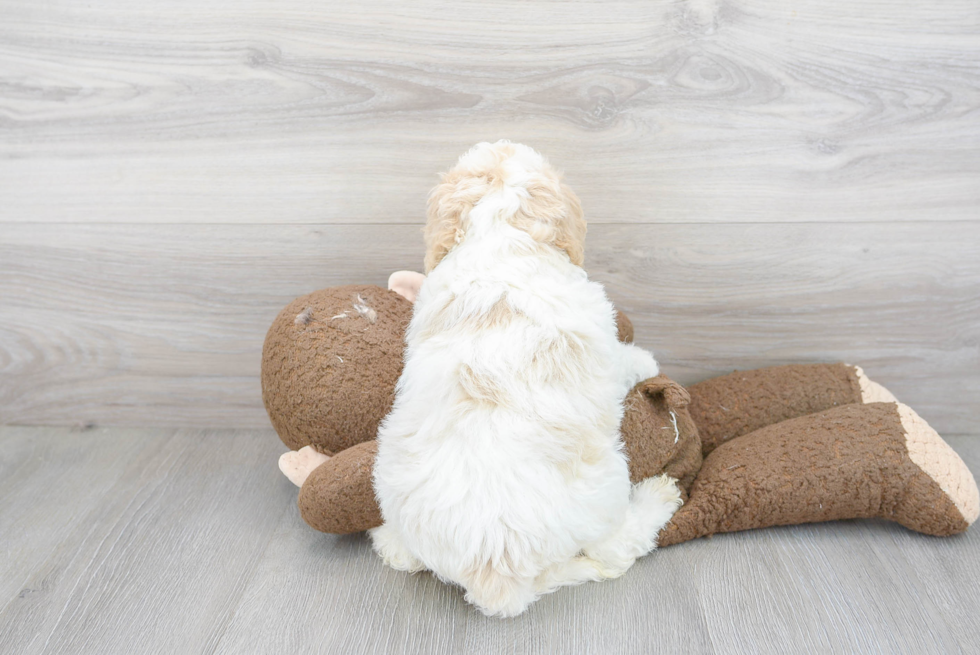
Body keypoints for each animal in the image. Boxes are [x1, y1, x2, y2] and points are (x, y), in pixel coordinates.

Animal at [368, 141, 680, 616]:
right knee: (614, 550)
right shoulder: (603, 340)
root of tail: (492, 571)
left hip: (391, 484)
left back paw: (388, 541)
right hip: (605, 491)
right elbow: (624, 360)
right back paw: (659, 496)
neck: (497, 233)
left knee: (406, 555)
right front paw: (645, 360)